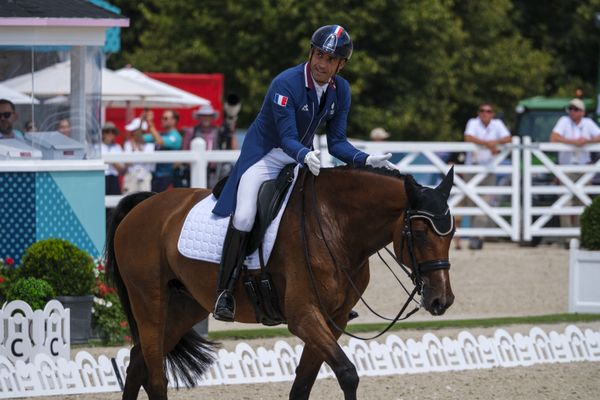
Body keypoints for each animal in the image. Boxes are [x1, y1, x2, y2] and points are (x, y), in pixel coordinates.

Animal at [106, 166, 454, 400]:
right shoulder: (304, 317)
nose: (442, 300)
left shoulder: (335, 319)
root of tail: (145, 205)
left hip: (185, 306)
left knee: (138, 363)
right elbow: (347, 373)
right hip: (150, 302)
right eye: (419, 233)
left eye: (450, 235)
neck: (335, 226)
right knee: (155, 376)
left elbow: (302, 385)